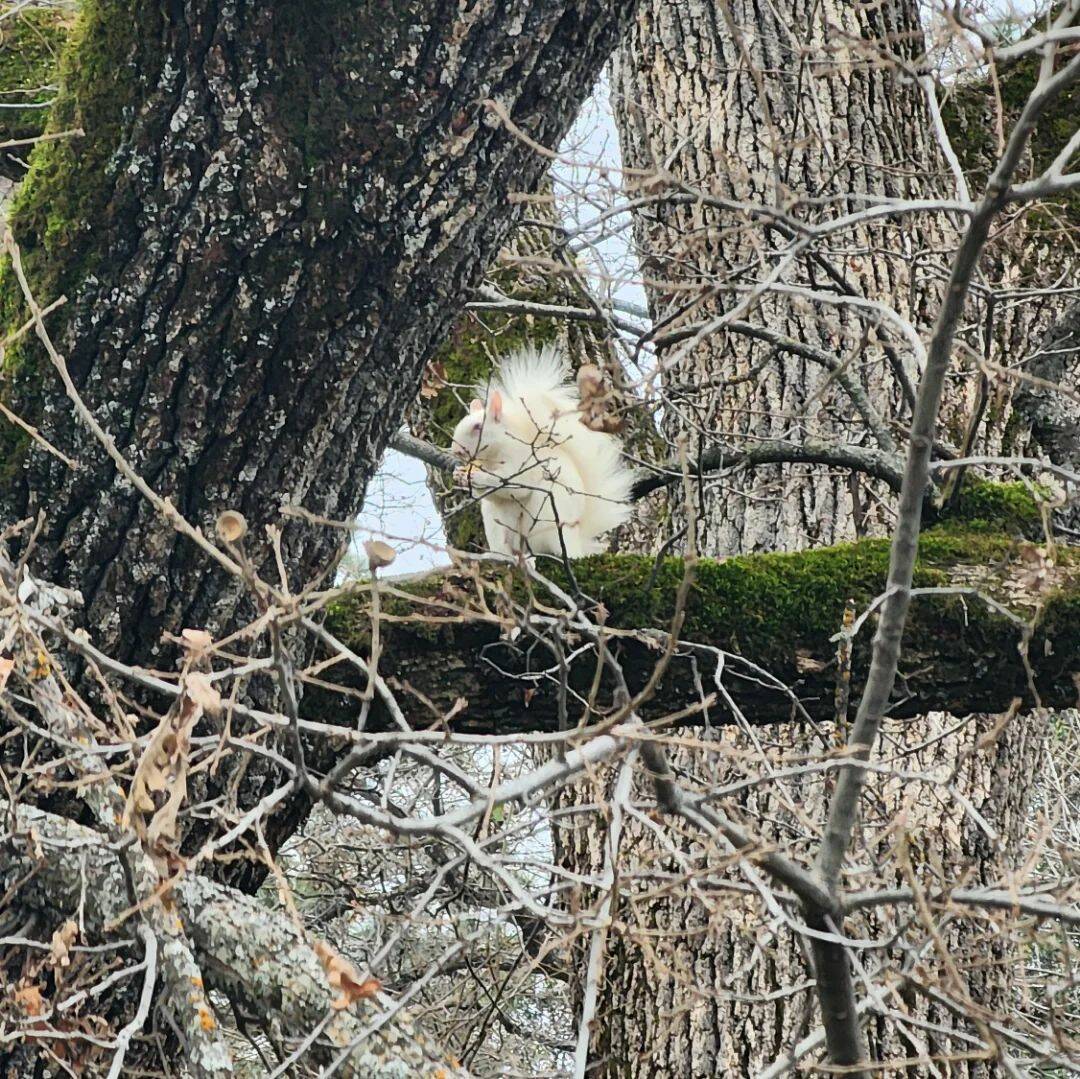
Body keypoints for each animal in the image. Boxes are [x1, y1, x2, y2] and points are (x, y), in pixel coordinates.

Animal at [447, 345, 630, 561]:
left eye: (478, 427)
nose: (456, 450)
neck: (492, 458)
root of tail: (577, 539)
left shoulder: (521, 459)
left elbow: (514, 484)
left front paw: (478, 477)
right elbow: (489, 495)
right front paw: (459, 475)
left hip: (548, 519)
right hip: (496, 524)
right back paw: (501, 556)